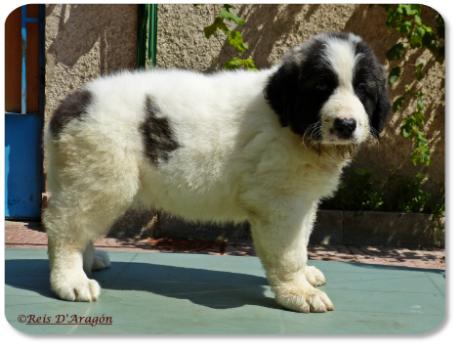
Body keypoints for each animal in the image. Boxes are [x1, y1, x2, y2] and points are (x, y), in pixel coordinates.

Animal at [43, 32, 390, 312]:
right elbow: (289, 252)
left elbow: (302, 240)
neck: (290, 123)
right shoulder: (279, 203)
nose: (346, 124)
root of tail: (70, 105)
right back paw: (72, 280)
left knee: (76, 222)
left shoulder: (302, 199)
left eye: (363, 90)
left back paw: (90, 261)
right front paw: (299, 293)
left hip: (82, 177)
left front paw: (305, 276)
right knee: (66, 229)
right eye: (320, 87)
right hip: (102, 176)